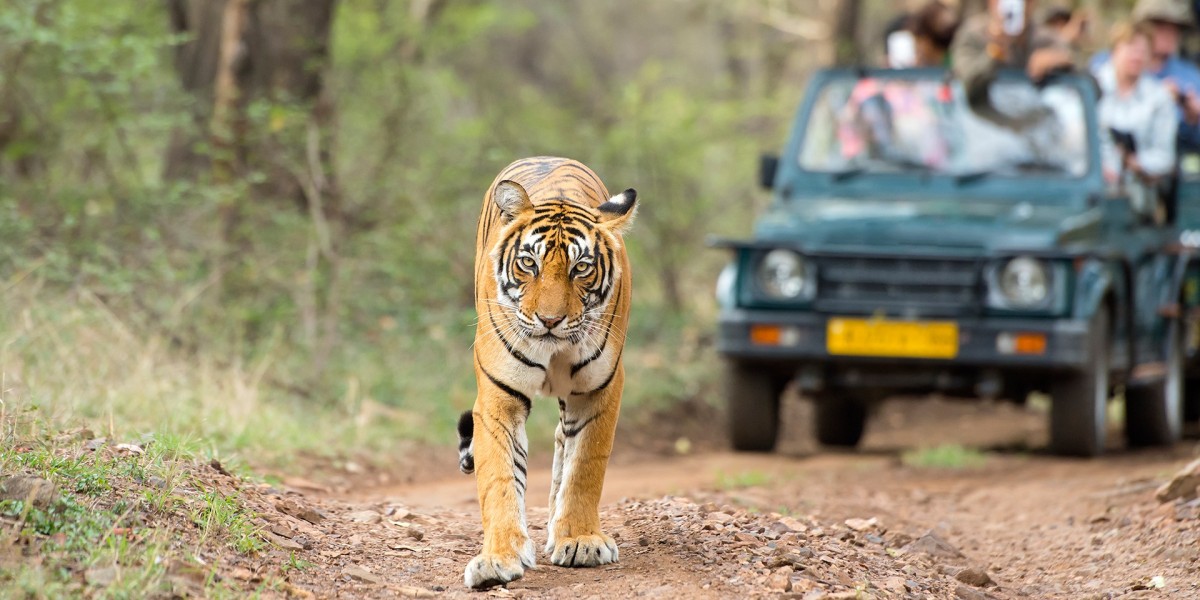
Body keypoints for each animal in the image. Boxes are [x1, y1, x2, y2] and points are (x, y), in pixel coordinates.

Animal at [456, 156, 637, 589]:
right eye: (529, 263)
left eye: (581, 268)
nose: (550, 321)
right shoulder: (498, 396)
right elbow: (500, 477)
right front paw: (497, 559)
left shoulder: (599, 390)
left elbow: (585, 466)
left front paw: (580, 540)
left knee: (562, 443)